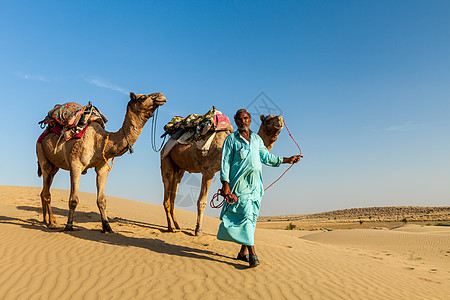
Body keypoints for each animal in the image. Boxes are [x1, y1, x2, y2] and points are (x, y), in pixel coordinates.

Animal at [36, 92, 167, 233]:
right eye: (142, 98)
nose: (161, 96)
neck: (99, 141)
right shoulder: (76, 165)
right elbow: (73, 199)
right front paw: (69, 225)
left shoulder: (102, 168)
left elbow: (102, 200)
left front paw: (107, 226)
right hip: (42, 155)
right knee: (47, 191)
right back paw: (51, 223)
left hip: (54, 166)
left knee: (44, 191)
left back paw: (47, 220)